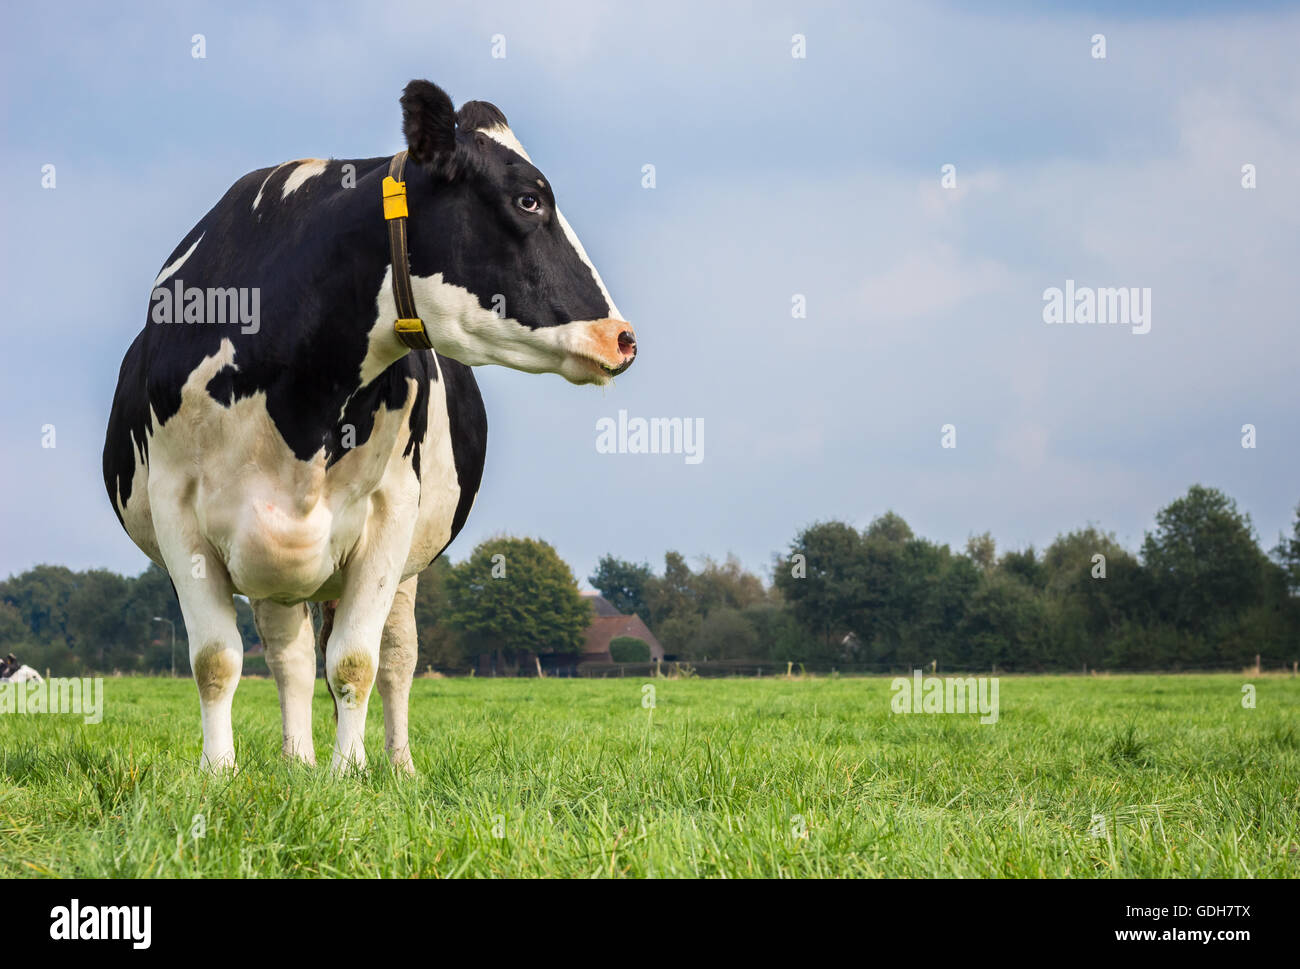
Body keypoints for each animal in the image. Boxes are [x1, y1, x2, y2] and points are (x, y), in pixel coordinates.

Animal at [102, 80, 637, 773]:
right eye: (529, 199)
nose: (621, 337)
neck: (297, 402)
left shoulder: (391, 511)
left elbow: (356, 660)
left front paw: (351, 772)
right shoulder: (177, 510)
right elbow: (217, 660)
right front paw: (220, 773)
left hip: (403, 567)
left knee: (395, 658)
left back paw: (396, 764)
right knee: (289, 657)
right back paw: (296, 761)